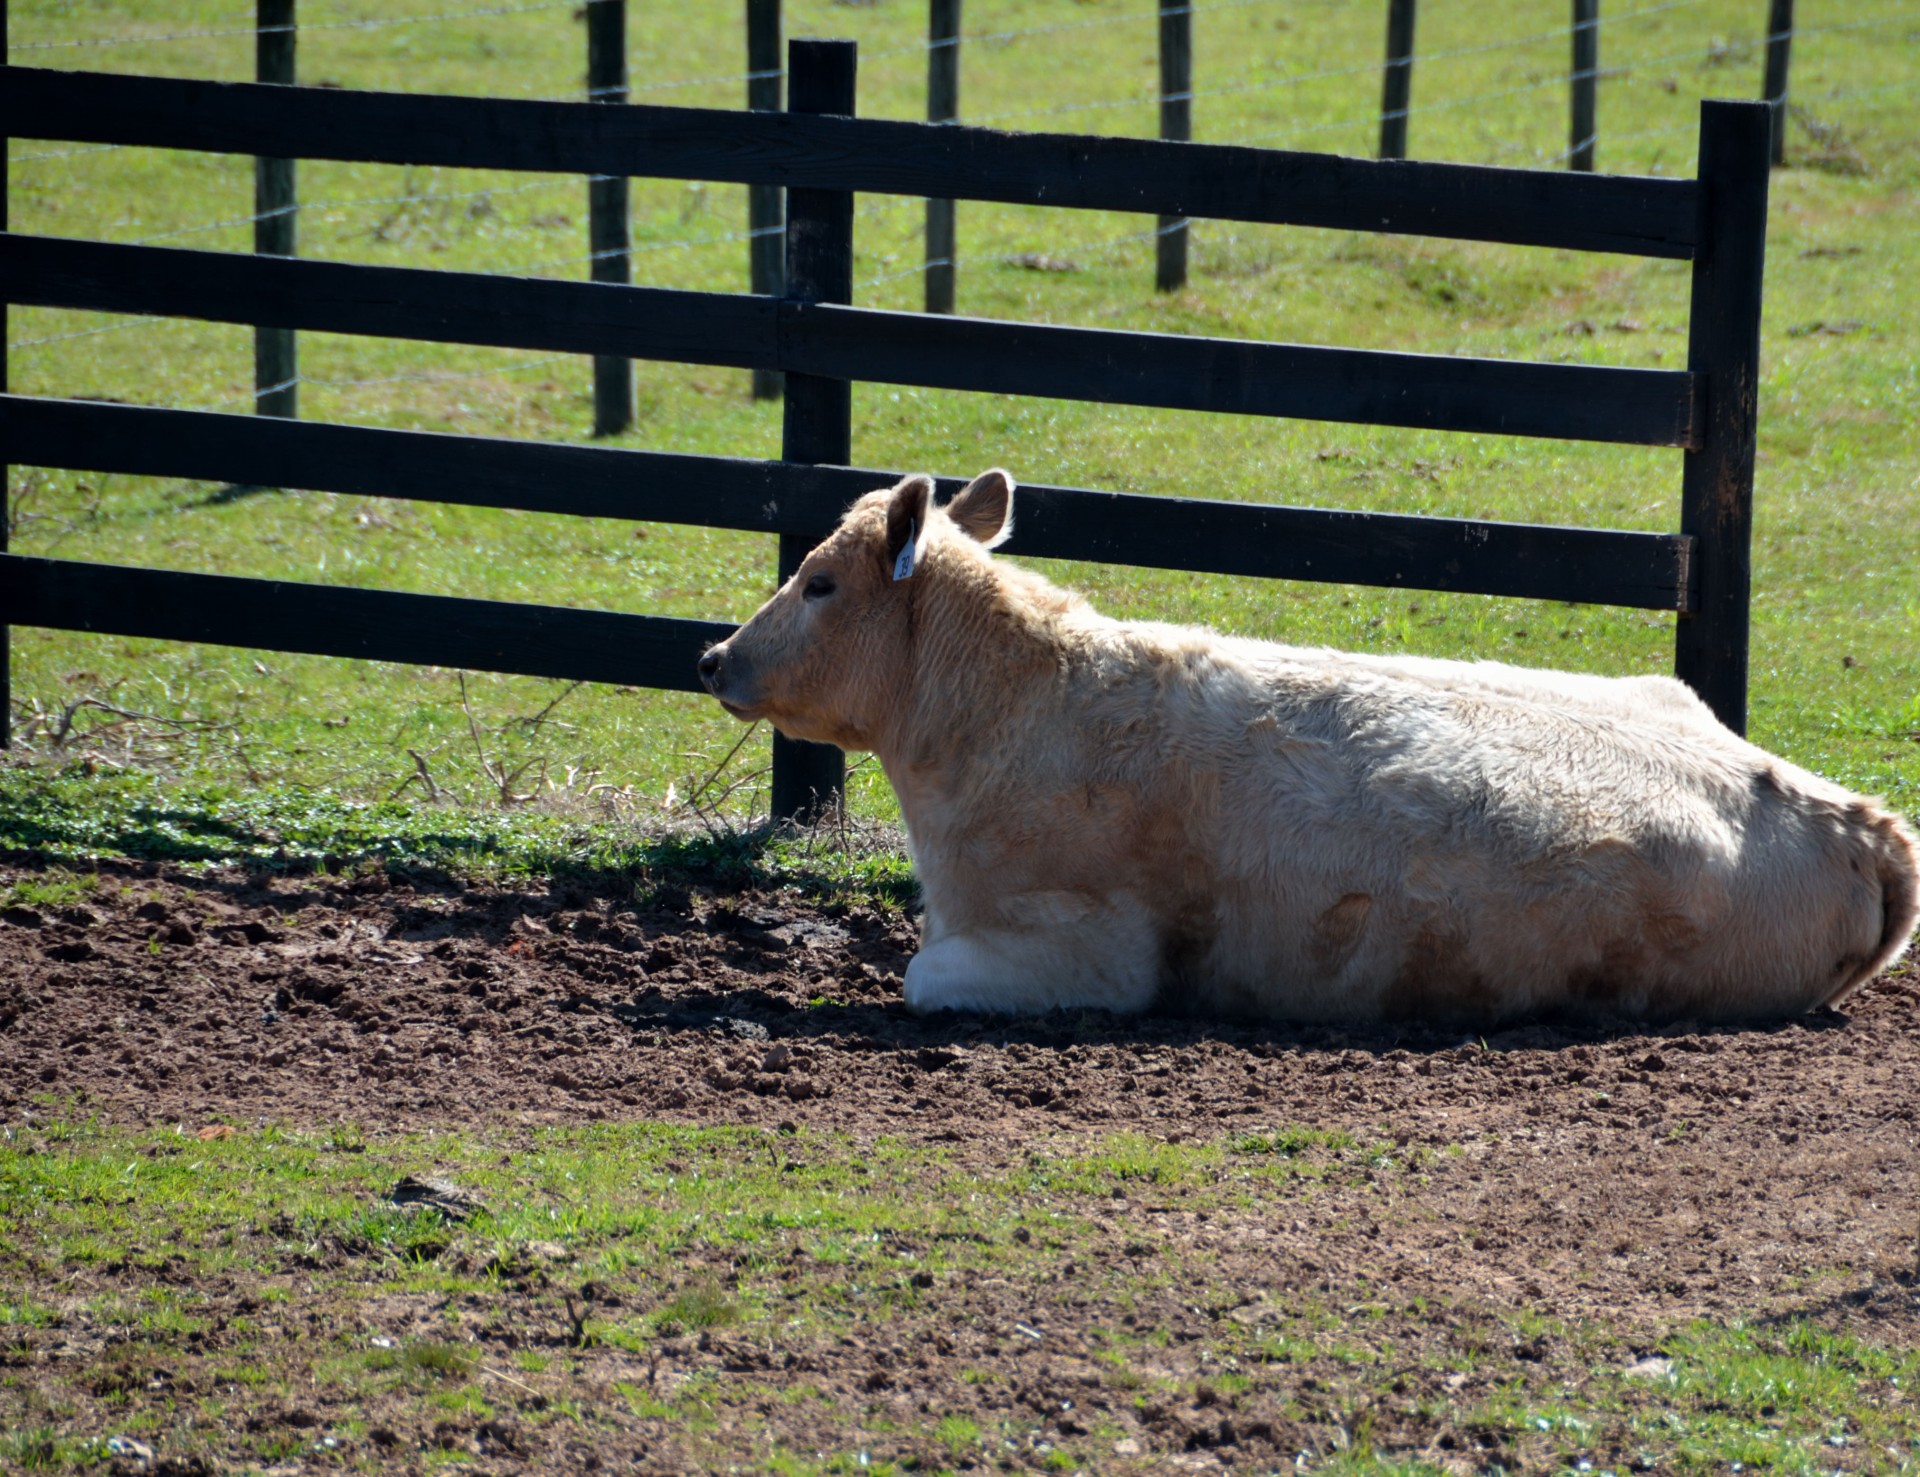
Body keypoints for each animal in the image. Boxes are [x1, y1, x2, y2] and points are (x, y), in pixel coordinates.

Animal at [702, 472, 1920, 1029]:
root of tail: (1852, 815)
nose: (715, 656)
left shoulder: (1078, 956)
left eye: (820, 581)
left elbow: (922, 976)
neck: (1024, 703)